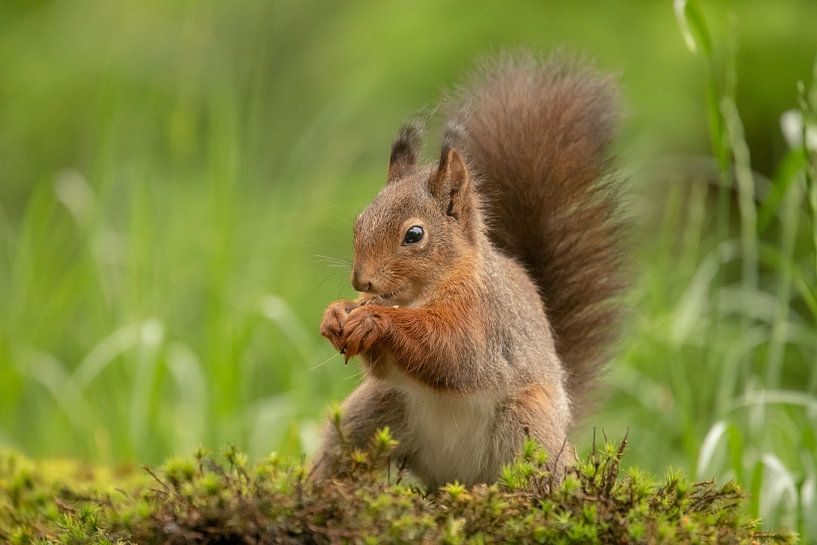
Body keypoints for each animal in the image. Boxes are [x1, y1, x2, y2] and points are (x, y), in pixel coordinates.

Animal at [310, 52, 620, 488]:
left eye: (414, 235)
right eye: (359, 222)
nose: (361, 280)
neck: (419, 294)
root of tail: (455, 476)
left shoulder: (484, 319)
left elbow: (451, 353)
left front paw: (375, 319)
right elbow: (384, 364)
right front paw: (336, 314)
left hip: (525, 425)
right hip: (371, 413)